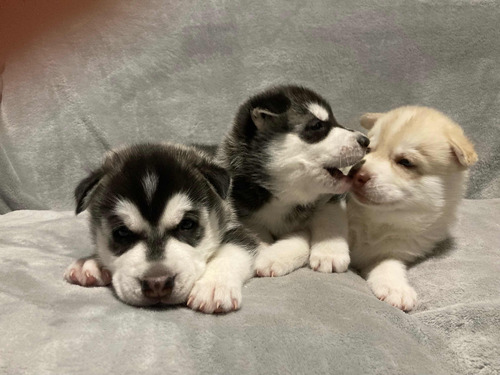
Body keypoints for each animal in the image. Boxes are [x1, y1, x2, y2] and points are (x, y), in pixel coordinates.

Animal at [63, 144, 258, 314]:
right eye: (122, 232)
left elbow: (234, 248)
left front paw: (214, 285)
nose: (157, 284)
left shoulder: (237, 228)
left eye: (186, 224)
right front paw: (90, 262)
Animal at [217, 86, 370, 278]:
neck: (285, 197)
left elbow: (329, 217)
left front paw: (329, 251)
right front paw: (270, 252)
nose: (366, 141)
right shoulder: (244, 212)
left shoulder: (332, 198)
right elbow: (257, 235)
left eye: (336, 121)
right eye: (317, 126)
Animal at [346, 106, 478, 312]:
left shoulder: (393, 249)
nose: (355, 173)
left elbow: (388, 264)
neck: (378, 220)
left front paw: (395, 288)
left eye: (405, 162)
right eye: (368, 149)